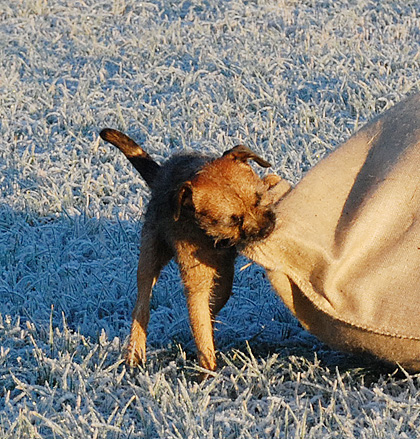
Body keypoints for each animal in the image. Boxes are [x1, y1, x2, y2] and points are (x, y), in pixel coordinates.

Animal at [99, 128, 289, 375]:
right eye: (232, 221)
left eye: (258, 199)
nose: (267, 229)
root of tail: (160, 176)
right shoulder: (195, 282)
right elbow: (200, 326)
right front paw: (208, 372)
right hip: (150, 254)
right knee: (142, 304)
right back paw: (135, 352)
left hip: (224, 278)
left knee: (215, 301)